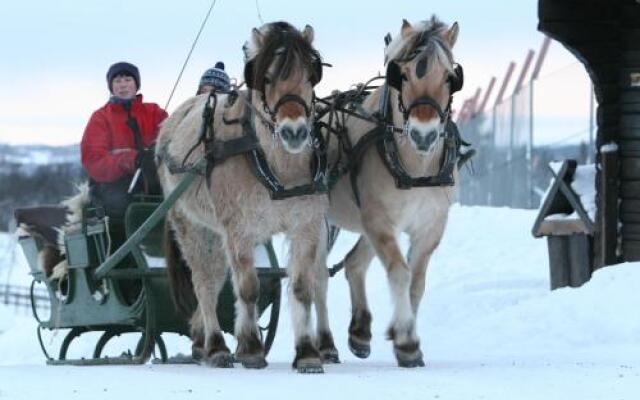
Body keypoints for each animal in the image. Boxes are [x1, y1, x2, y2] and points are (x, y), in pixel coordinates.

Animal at [158, 21, 332, 374]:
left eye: (311, 75)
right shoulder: (238, 228)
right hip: (193, 226)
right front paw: (250, 349)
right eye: (267, 77)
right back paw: (215, 347)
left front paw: (307, 353)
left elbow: (302, 287)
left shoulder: (306, 225)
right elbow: (249, 287)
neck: (276, 166)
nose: (294, 132)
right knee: (206, 283)